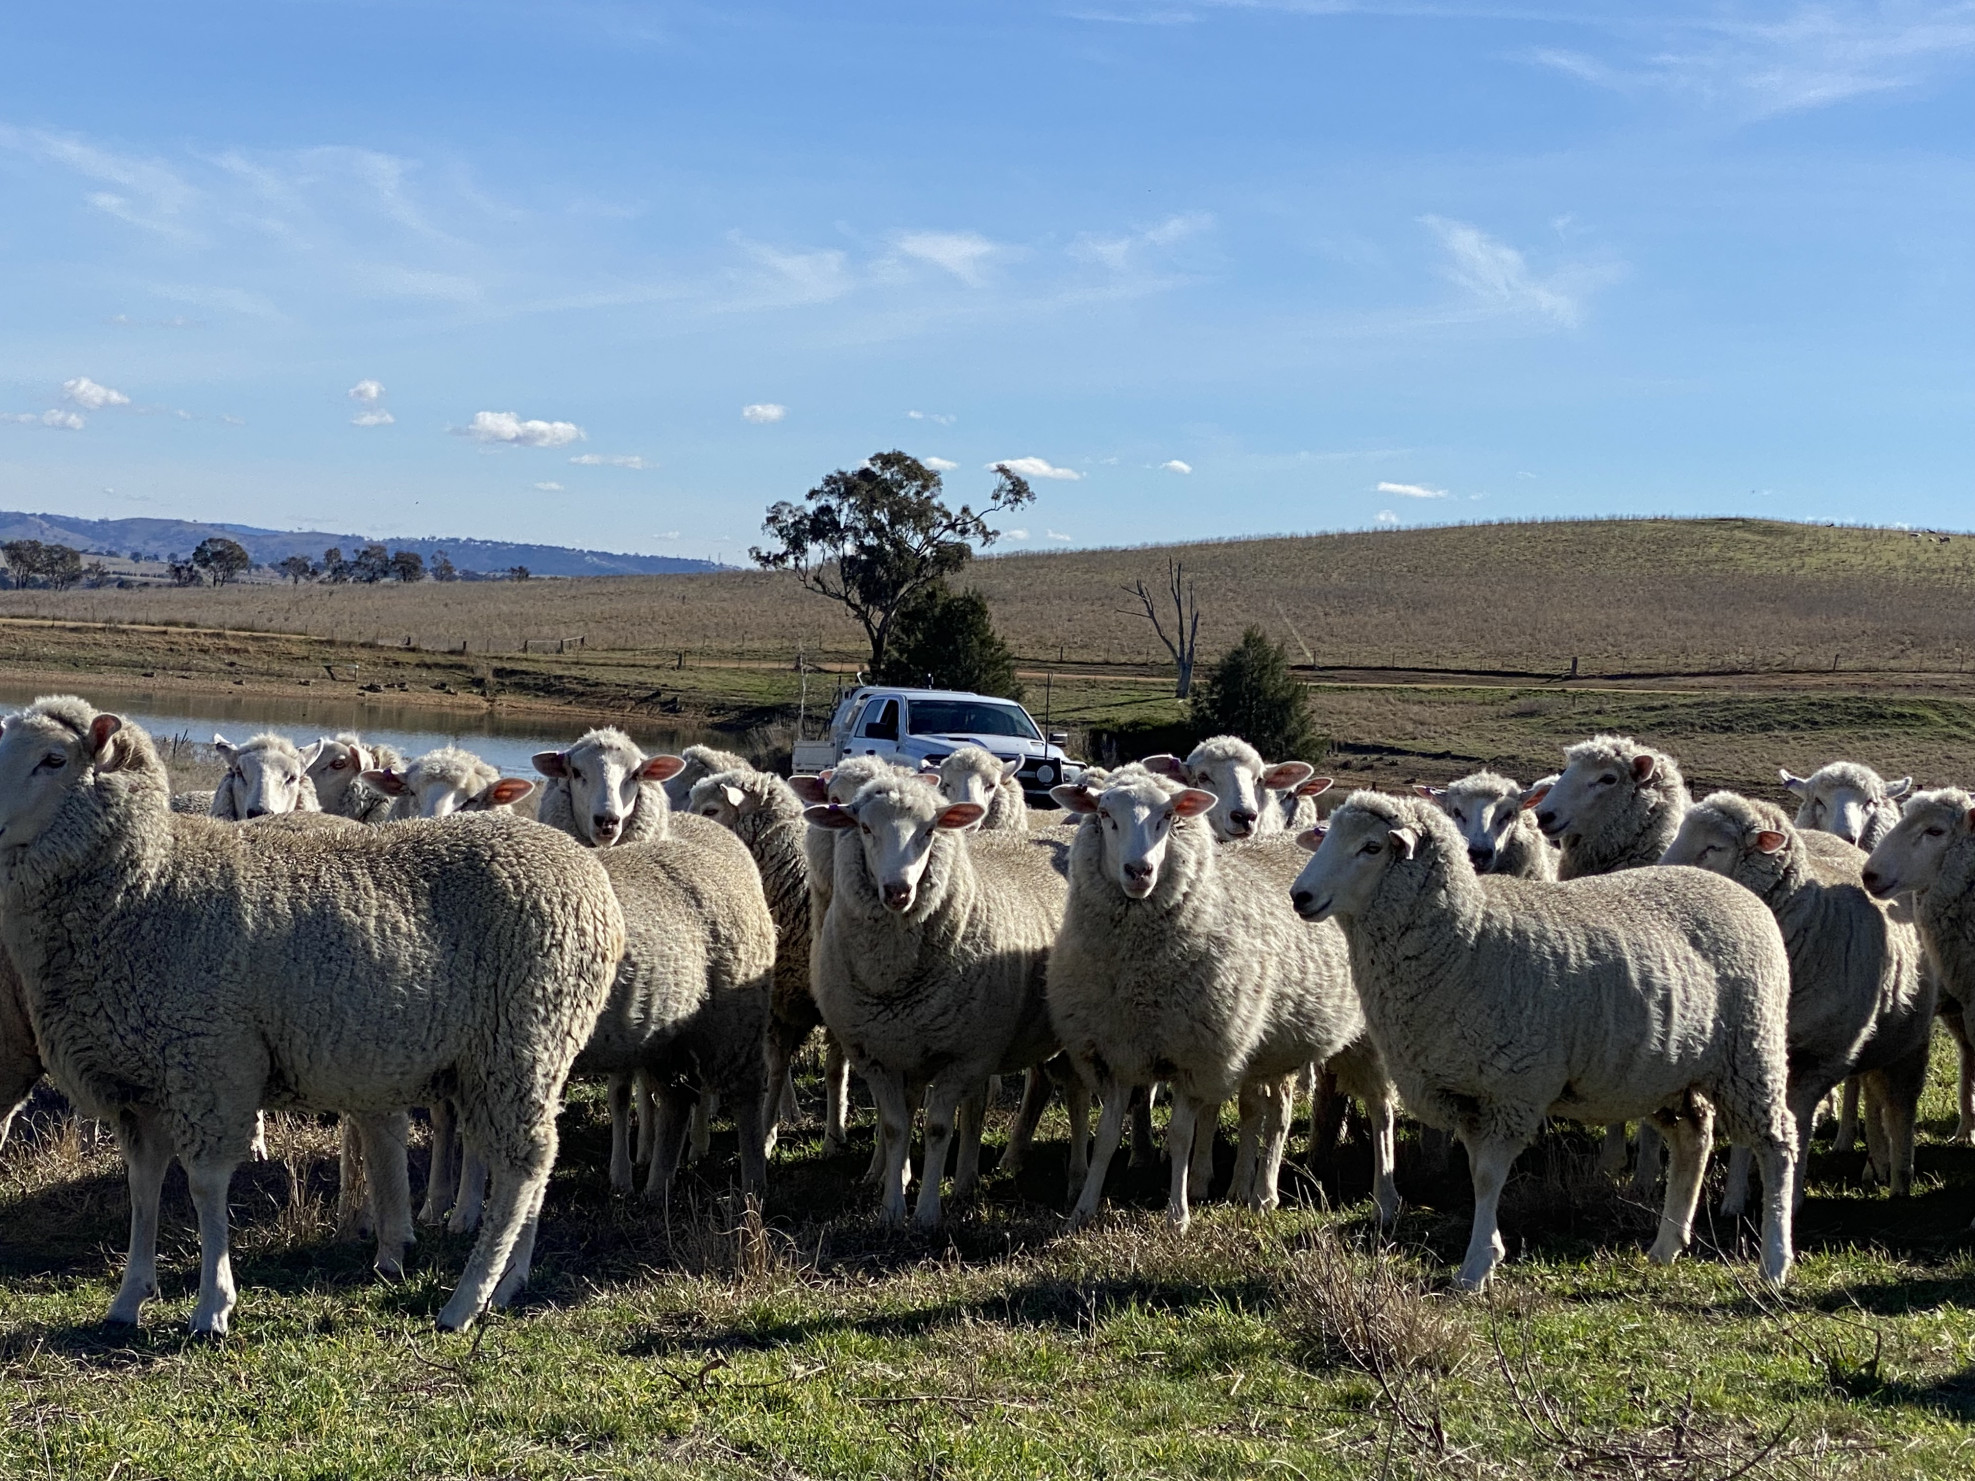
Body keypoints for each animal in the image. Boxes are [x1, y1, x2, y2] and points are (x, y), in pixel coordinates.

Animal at [0, 695, 625, 1333]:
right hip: (515, 1058)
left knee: (524, 1164)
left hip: (522, 1042)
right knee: (536, 1161)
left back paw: (466, 1299)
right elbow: (143, 1184)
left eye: (54, 760)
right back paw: (508, 1282)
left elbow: (204, 1185)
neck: (151, 880)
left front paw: (212, 1306)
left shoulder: (211, 1060)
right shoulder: (141, 1076)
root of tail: (585, 870)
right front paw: (129, 1297)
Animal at [807, 773, 1068, 1228]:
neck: (893, 979)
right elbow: (895, 1127)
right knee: (1035, 1085)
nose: (898, 891)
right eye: (865, 828)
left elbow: (937, 1130)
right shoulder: (876, 1054)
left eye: (929, 831)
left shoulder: (961, 1055)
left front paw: (928, 1212)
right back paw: (1003, 1164)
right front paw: (891, 1209)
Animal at [1048, 766, 1396, 1230]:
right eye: (1104, 815)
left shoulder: (1195, 1053)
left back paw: (1379, 1199)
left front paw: (1177, 1216)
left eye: (1169, 817)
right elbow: (1105, 1136)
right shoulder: (1118, 1050)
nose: (1139, 870)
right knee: (1266, 1112)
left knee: (1378, 1111)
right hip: (1277, 1042)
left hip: (1369, 1037)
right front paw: (1082, 1211)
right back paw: (1248, 1190)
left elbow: (1181, 1134)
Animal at [1291, 791, 1797, 1290]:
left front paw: (1475, 1267)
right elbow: (1476, 1173)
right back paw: (1667, 1246)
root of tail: (1739, 893)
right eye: (1326, 837)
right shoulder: (1469, 1090)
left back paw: (1775, 1262)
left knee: (1777, 1143)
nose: (1300, 896)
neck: (1467, 938)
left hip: (1750, 1053)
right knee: (1694, 1137)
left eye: (1371, 847)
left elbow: (1488, 1176)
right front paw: (1488, 1254)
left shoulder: (1513, 1085)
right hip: (1662, 1073)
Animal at [1662, 793, 1932, 1208]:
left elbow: (1800, 1125)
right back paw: (1876, 1163)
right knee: (1873, 1093)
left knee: (1902, 1106)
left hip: (1910, 1043)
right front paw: (1734, 1199)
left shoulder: (1818, 1060)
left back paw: (1900, 1182)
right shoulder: (1751, 1055)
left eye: (1714, 847)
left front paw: (1791, 1196)